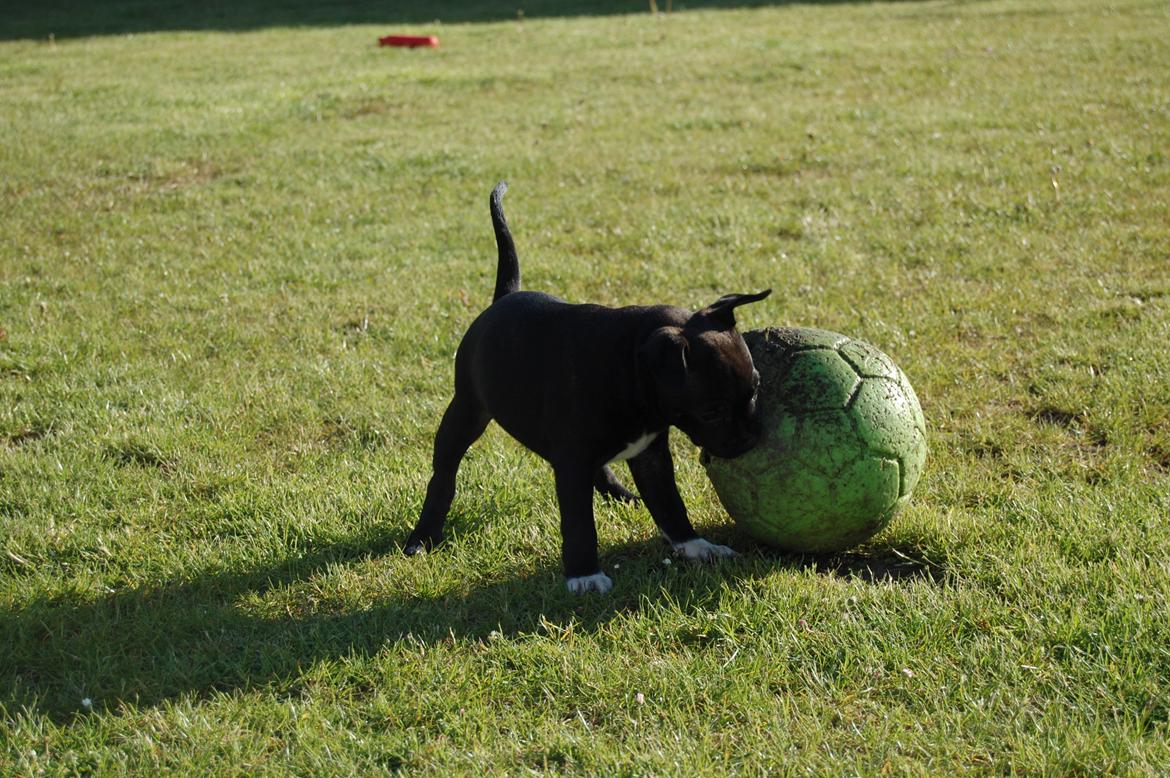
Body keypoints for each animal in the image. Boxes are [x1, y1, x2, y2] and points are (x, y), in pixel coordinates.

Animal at [407, 183, 772, 594]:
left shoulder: (648, 457)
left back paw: (621, 496)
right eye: (713, 411)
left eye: (756, 388)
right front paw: (584, 575)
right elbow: (580, 522)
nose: (750, 440)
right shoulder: (573, 461)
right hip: (465, 412)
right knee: (443, 477)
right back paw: (423, 536)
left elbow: (669, 504)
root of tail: (504, 296)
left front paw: (695, 545)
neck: (629, 368)